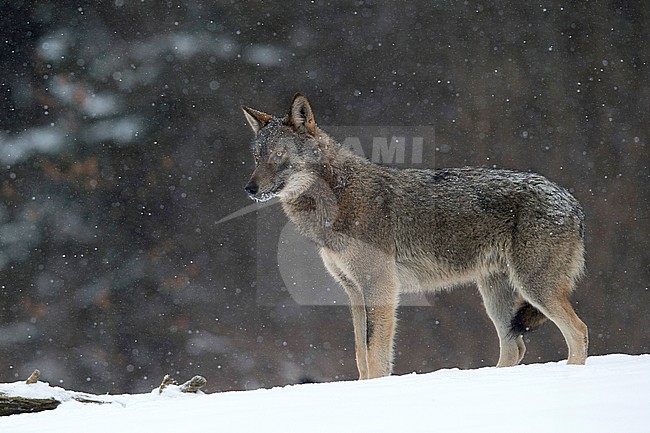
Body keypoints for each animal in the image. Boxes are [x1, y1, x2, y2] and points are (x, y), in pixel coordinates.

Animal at [241, 94, 588, 379]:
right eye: (257, 157)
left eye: (279, 155)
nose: (249, 188)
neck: (338, 199)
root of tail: (573, 202)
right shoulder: (354, 292)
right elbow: (360, 356)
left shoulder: (381, 287)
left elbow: (374, 355)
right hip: (496, 295)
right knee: (514, 347)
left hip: (534, 288)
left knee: (578, 331)